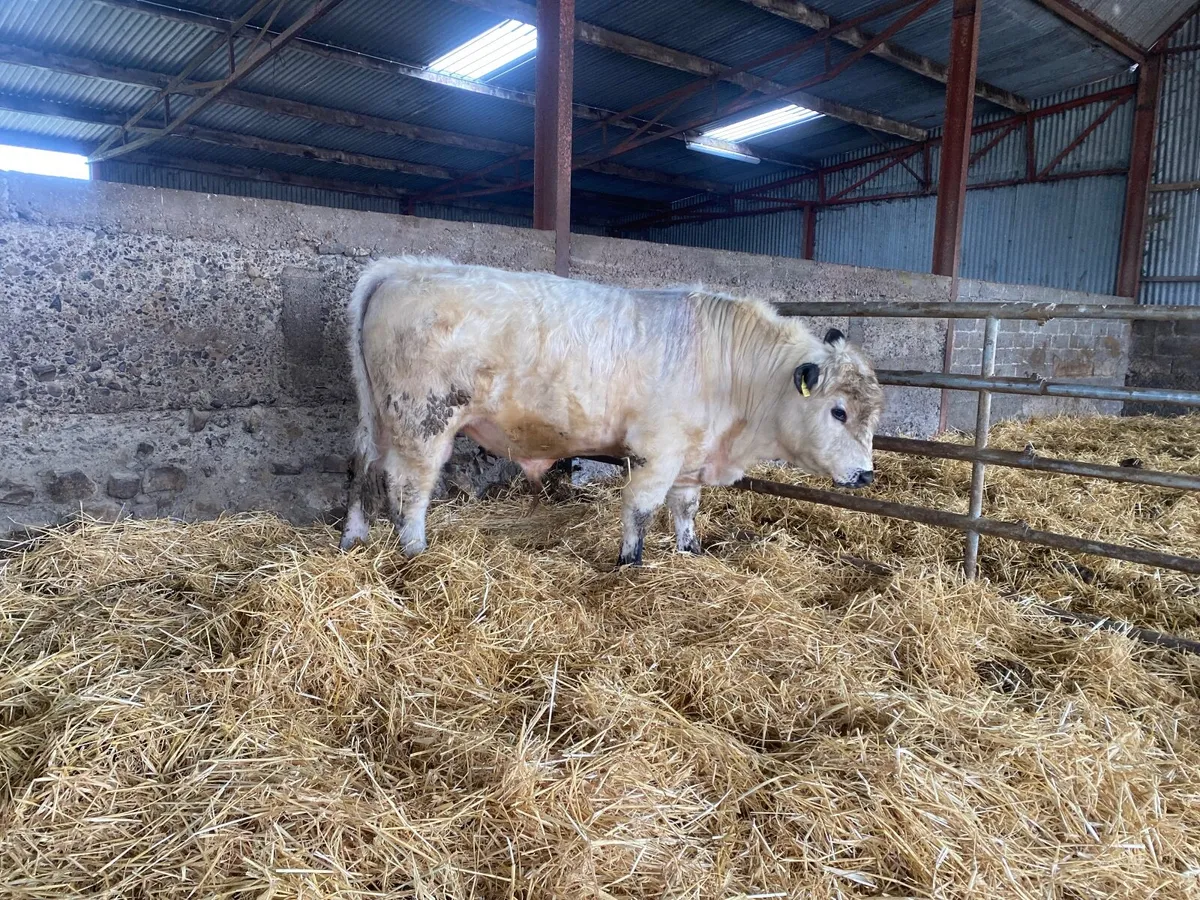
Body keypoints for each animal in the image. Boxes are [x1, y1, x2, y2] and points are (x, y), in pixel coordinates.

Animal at [338, 256, 883, 566]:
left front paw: (690, 555)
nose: (865, 475)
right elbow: (640, 511)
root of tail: (405, 268)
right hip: (424, 422)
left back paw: (354, 539)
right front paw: (629, 565)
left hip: (378, 418)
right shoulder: (656, 452)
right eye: (838, 412)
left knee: (363, 470)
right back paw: (415, 552)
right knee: (409, 488)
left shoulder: (690, 457)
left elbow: (685, 511)